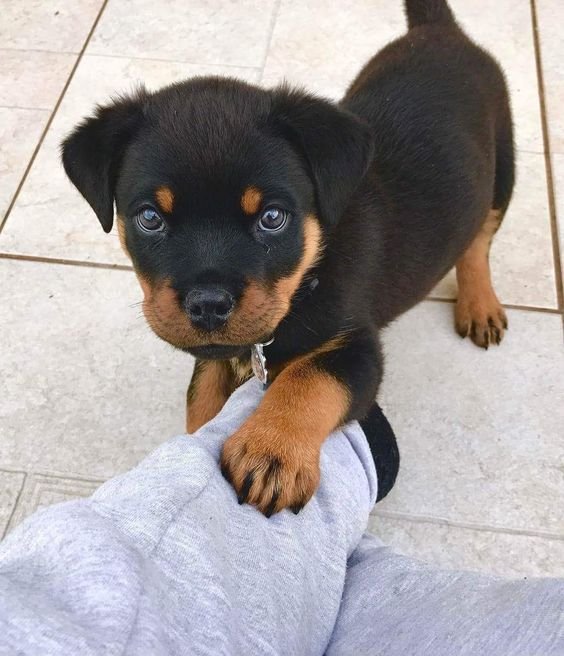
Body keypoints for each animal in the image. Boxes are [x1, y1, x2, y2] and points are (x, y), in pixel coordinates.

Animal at [62, 0, 516, 512]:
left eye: (273, 217)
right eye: (149, 218)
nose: (208, 306)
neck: (309, 272)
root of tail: (440, 29)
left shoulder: (358, 349)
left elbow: (310, 378)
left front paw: (271, 451)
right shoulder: (218, 353)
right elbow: (201, 400)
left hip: (504, 169)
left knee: (479, 241)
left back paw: (480, 304)